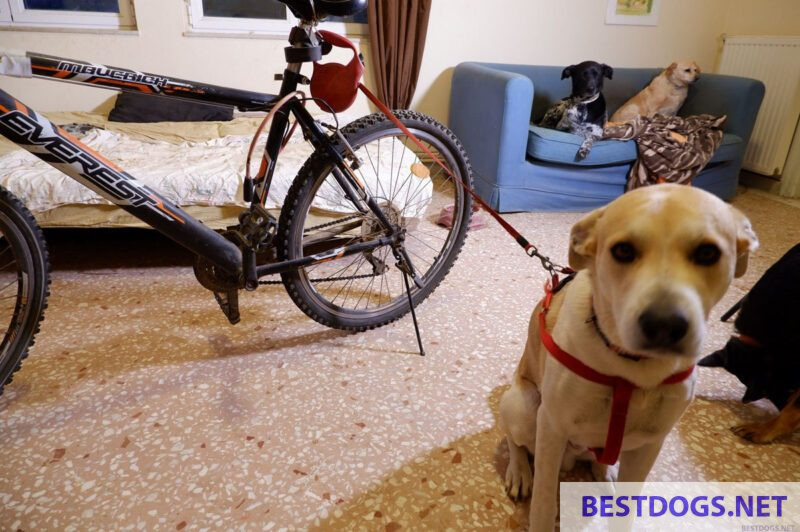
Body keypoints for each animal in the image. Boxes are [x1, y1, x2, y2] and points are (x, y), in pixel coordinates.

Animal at [500, 184, 756, 532]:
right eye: (623, 251)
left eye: (707, 253)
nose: (664, 325)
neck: (630, 369)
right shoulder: (552, 427)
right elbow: (542, 502)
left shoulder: (650, 444)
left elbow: (627, 507)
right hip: (525, 406)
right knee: (517, 442)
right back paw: (520, 472)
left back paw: (605, 474)